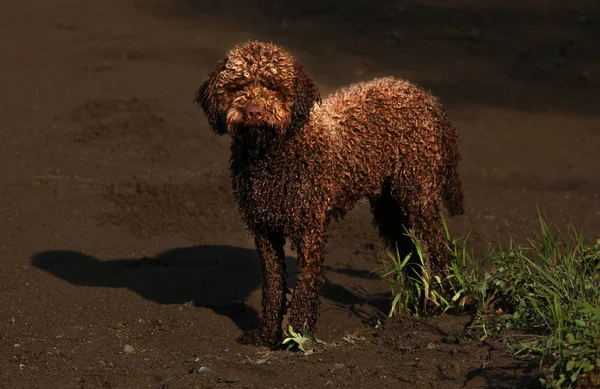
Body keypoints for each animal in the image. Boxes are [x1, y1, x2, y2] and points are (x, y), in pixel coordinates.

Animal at [196, 41, 464, 348]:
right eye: (237, 86)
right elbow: (273, 285)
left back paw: (445, 302)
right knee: (411, 253)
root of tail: (428, 98)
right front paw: (267, 335)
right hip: (388, 208)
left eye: (274, 87)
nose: (254, 112)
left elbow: (306, 284)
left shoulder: (310, 227)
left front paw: (298, 335)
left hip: (418, 193)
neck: (273, 152)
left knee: (439, 248)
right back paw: (415, 307)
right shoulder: (264, 228)